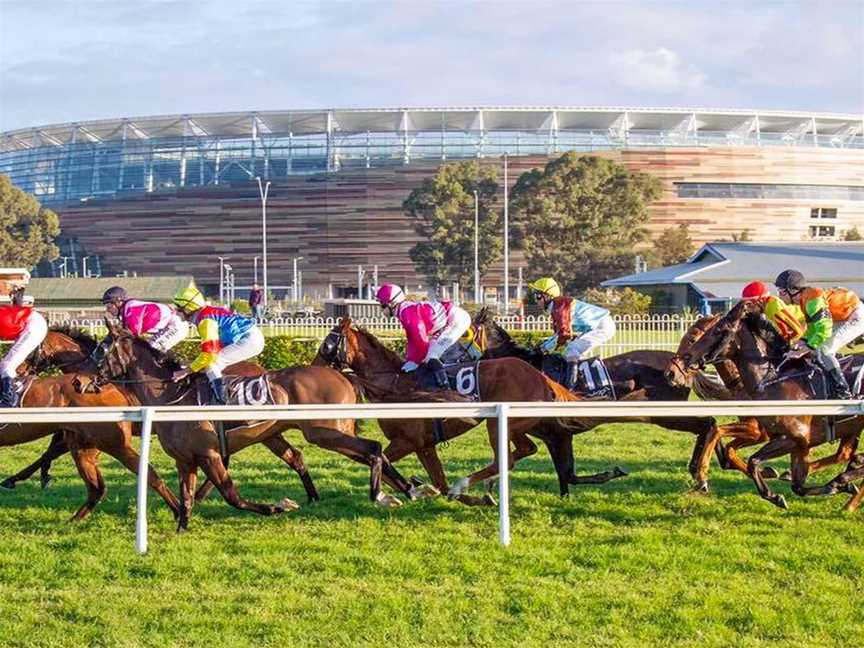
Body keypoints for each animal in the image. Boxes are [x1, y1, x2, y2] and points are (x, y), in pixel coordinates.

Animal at [95, 324, 428, 532]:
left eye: (101, 350)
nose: (87, 380)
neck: (171, 397)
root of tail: (343, 375)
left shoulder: (209, 454)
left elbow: (232, 496)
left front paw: (277, 507)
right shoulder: (185, 459)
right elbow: (186, 498)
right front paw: (180, 529)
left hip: (323, 432)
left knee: (373, 448)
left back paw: (382, 495)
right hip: (322, 431)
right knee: (368, 454)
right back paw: (410, 489)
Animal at [660, 296, 864, 508]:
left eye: (713, 332)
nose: (671, 373)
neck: (769, 379)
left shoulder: (768, 434)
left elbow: (736, 449)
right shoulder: (794, 441)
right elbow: (726, 445)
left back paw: (848, 490)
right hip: (851, 428)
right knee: (844, 454)